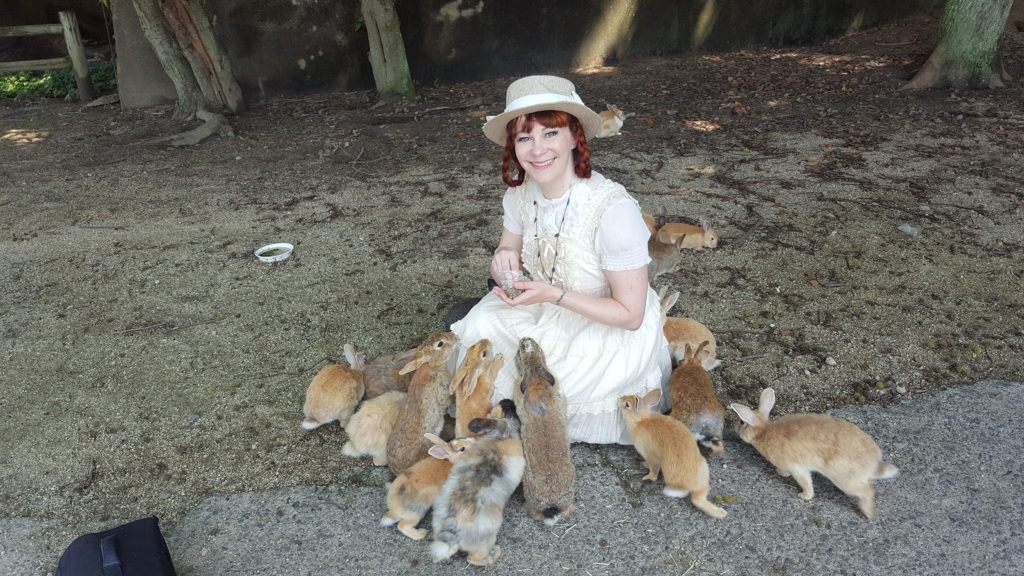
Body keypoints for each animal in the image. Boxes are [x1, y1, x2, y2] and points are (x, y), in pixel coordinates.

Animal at [432, 401, 528, 561]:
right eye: (507, 408)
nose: (508, 401)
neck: (504, 437)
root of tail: (454, 535)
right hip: (485, 540)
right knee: (473, 558)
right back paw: (495, 553)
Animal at [614, 387, 729, 518]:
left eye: (627, 404)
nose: (619, 399)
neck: (640, 421)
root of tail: (695, 487)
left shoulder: (651, 456)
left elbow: (653, 470)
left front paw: (647, 476)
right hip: (704, 469)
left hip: (668, 470)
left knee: (685, 493)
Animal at [729, 387, 897, 518]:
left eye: (742, 422)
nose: (734, 426)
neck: (763, 431)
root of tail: (874, 464)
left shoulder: (797, 467)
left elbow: (805, 482)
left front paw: (803, 495)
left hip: (844, 479)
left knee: (867, 491)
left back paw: (868, 513)